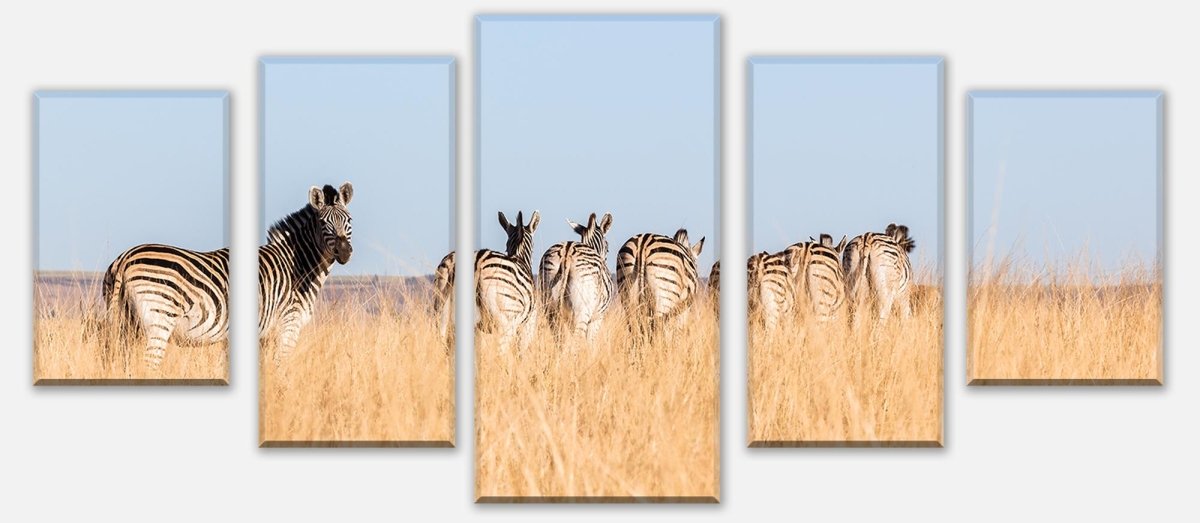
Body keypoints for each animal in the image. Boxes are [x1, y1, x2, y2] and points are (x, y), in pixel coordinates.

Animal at [547, 212, 619, 343]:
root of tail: (567, 252)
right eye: (608, 249)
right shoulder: (597, 318)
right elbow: (590, 342)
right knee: (577, 340)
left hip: (550, 307)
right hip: (582, 311)